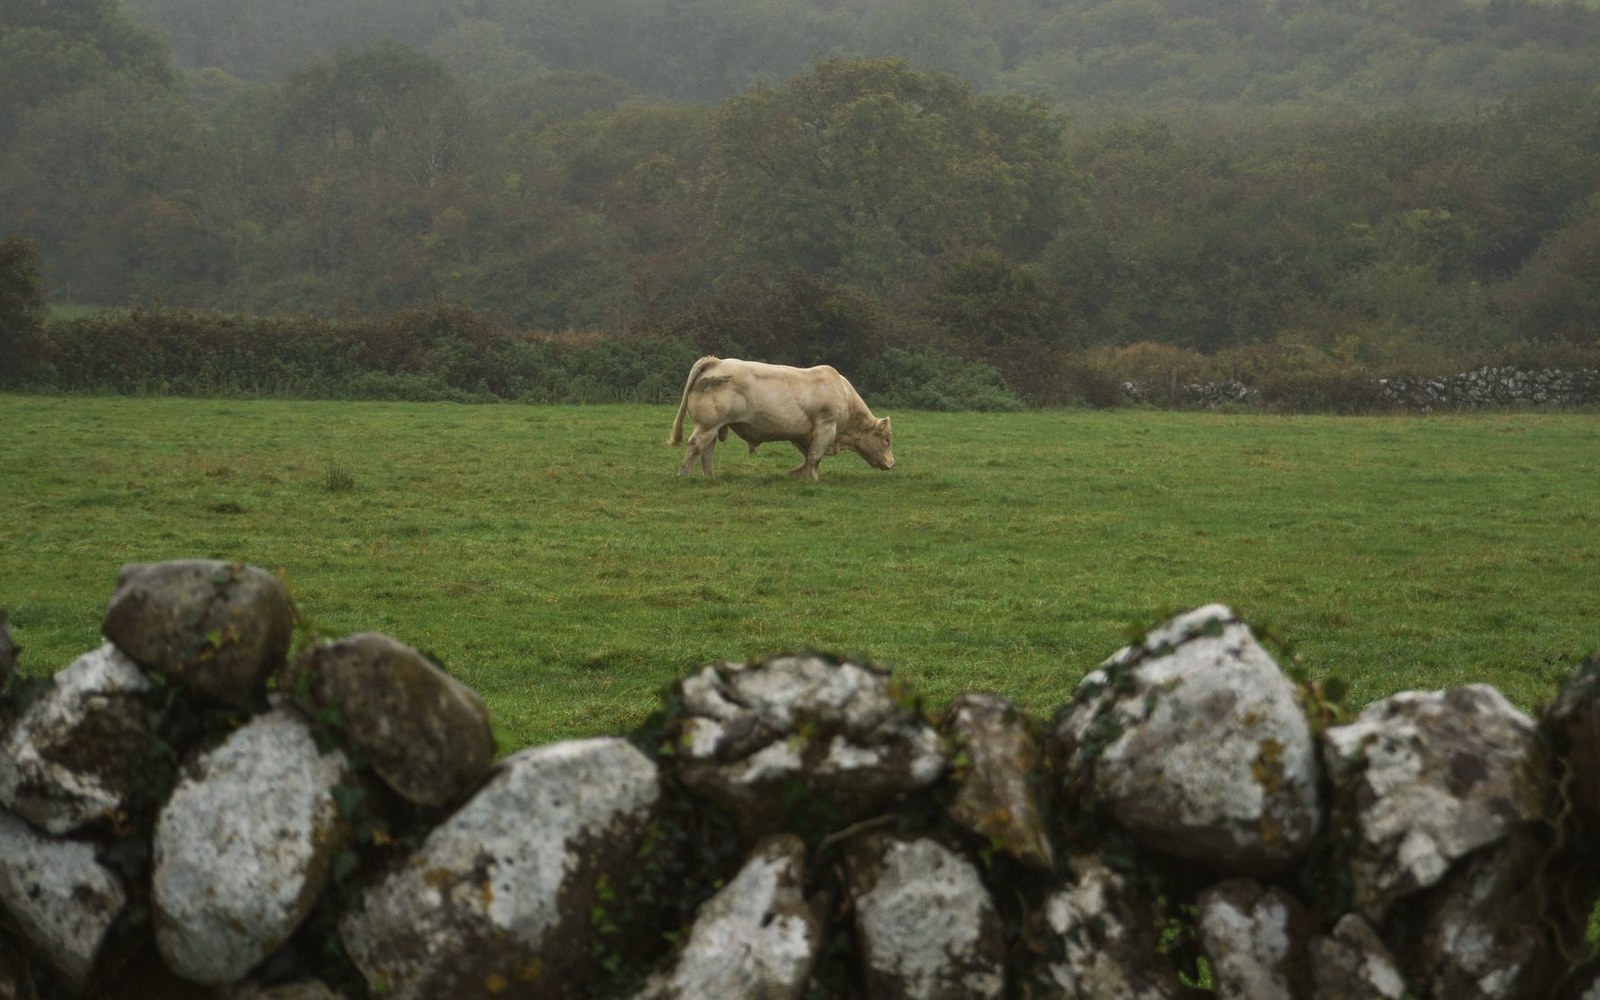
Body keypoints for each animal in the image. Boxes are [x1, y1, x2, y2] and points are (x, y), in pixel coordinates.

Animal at [667, 356, 895, 481]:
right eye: (886, 440)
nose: (892, 464)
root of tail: (716, 361)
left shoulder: (802, 434)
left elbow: (808, 456)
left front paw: (797, 474)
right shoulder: (826, 427)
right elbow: (815, 457)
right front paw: (812, 479)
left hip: (714, 428)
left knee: (707, 452)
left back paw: (710, 478)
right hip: (707, 425)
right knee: (695, 446)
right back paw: (684, 475)